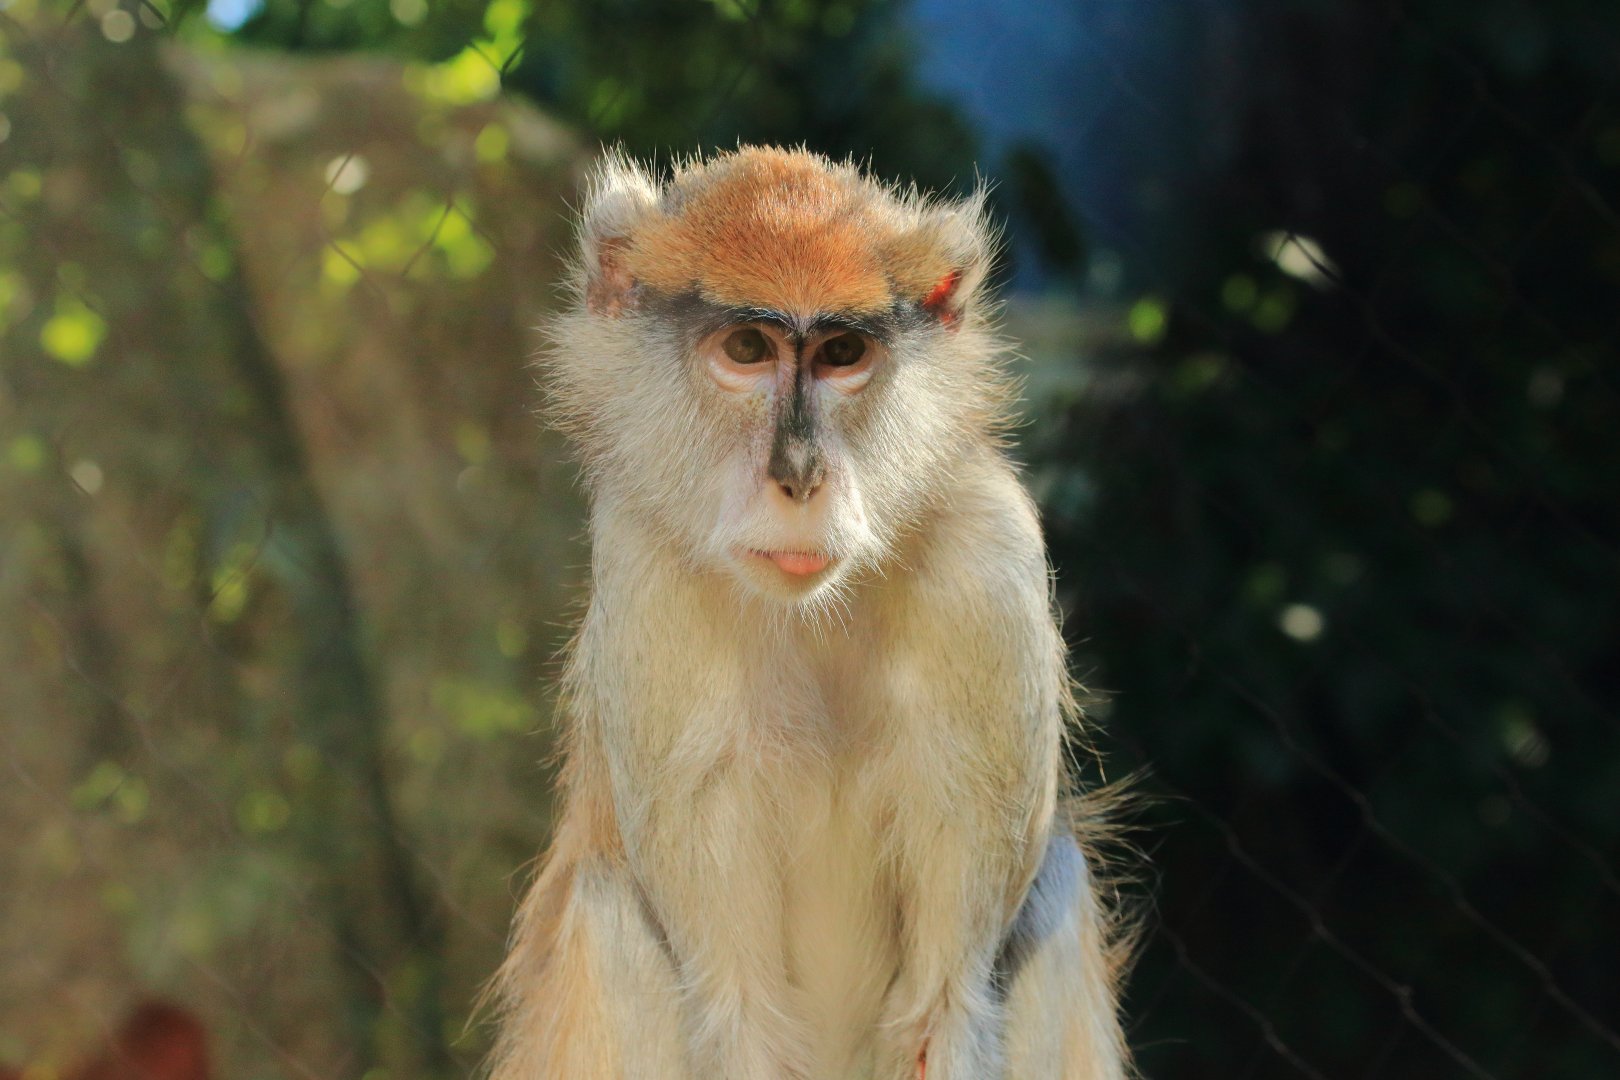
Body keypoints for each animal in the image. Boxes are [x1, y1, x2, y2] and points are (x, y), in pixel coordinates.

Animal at [487, 146, 1131, 1080]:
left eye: (842, 352)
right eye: (748, 348)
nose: (798, 478)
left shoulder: (990, 562)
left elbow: (946, 1008)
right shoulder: (644, 573)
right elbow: (738, 1011)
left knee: (1056, 880)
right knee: (609, 914)